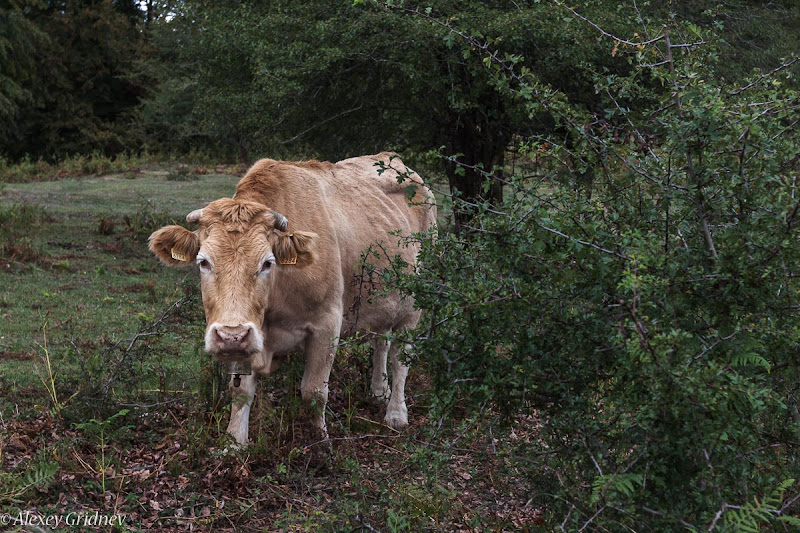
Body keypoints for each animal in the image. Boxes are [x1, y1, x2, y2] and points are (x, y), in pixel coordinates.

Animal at [150, 154, 438, 444]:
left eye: (267, 262)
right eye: (203, 262)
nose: (231, 335)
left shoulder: (326, 326)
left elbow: (314, 391)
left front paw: (319, 441)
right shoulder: (247, 336)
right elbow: (240, 391)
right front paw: (234, 442)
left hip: (413, 306)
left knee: (401, 357)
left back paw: (396, 413)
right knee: (381, 342)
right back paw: (379, 391)